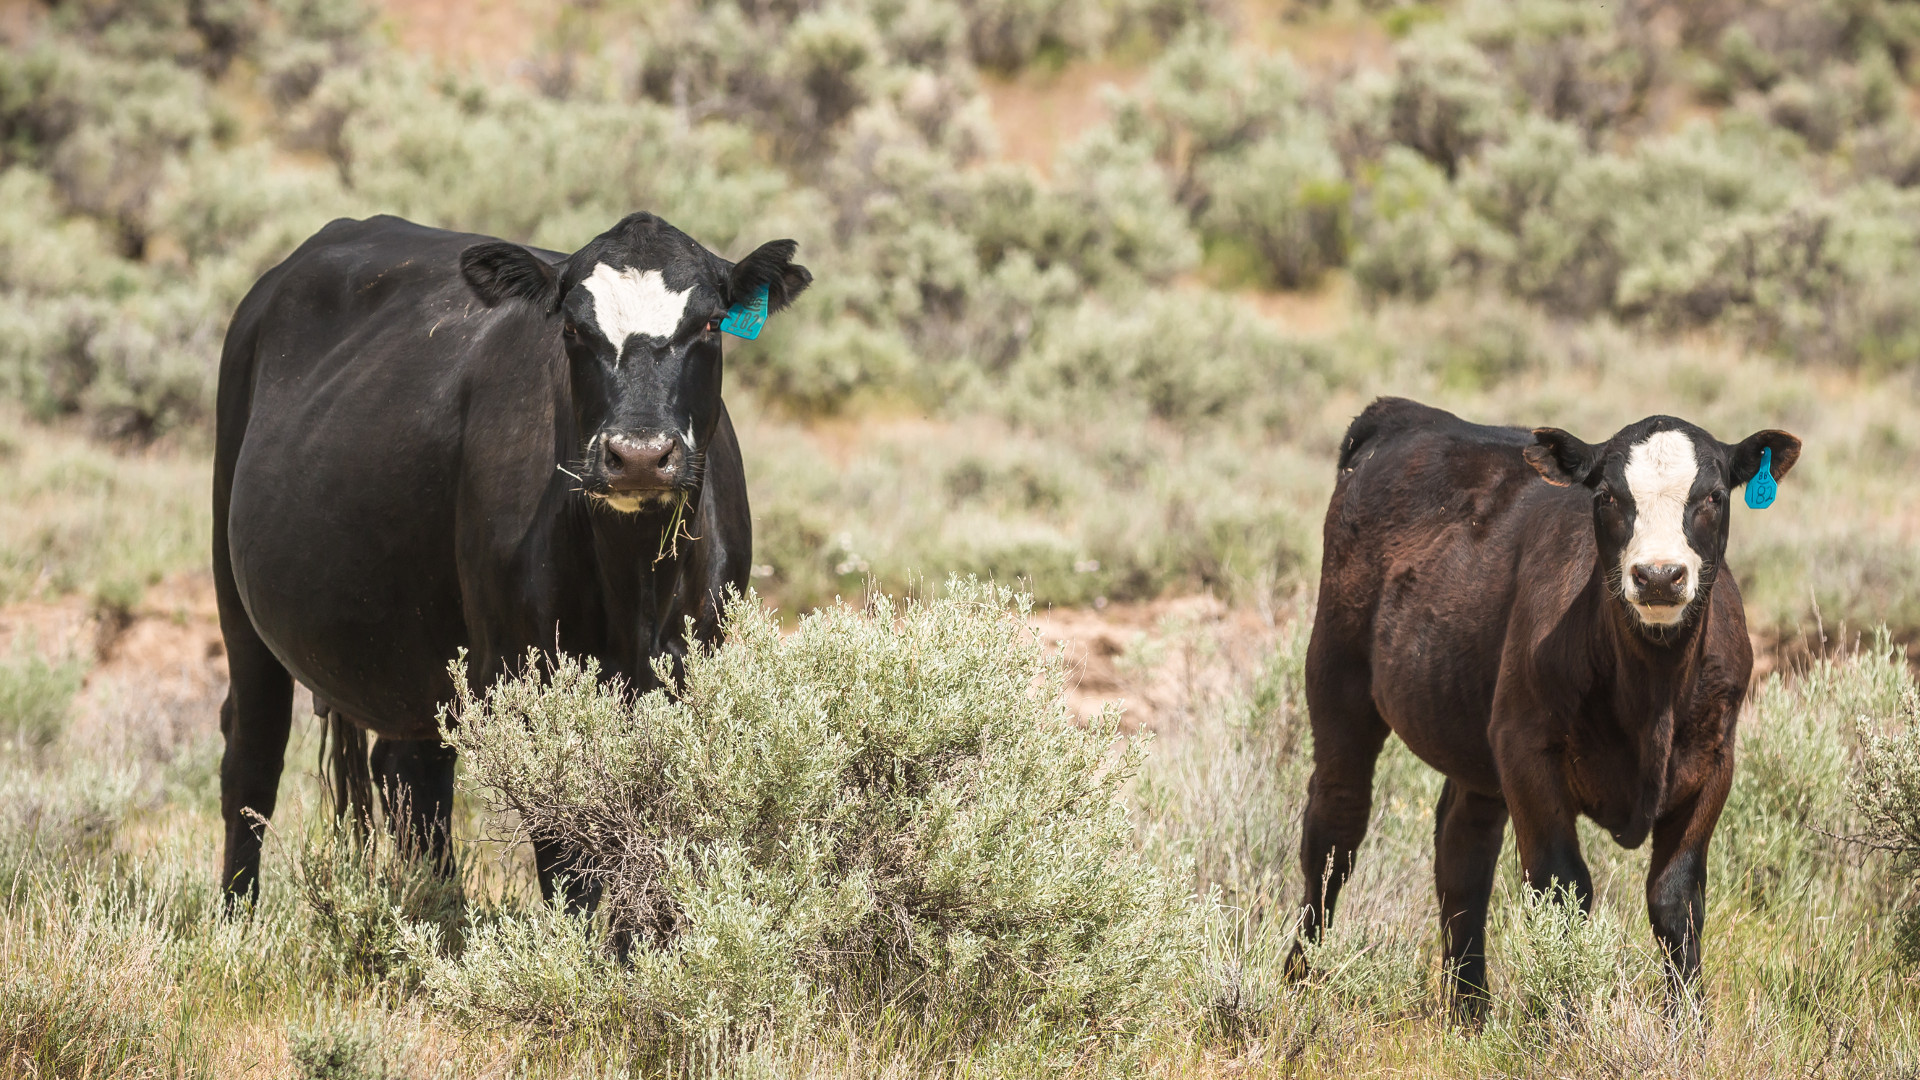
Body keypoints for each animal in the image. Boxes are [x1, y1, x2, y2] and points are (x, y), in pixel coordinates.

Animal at [212, 210, 810, 899]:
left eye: (711, 323)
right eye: (573, 328)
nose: (638, 454)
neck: (634, 585)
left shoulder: (691, 675)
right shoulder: (526, 681)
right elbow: (571, 866)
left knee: (412, 772)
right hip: (238, 597)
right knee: (251, 762)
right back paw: (237, 918)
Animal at [1290, 393, 1797, 1006]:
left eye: (1714, 497)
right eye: (1607, 497)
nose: (1658, 576)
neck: (1652, 693)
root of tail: (1403, 413)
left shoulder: (1714, 760)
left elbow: (1676, 898)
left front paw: (1689, 1021)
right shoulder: (1527, 751)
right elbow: (1562, 891)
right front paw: (1569, 1014)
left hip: (1474, 732)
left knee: (1462, 851)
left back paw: (1469, 1010)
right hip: (1337, 679)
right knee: (1335, 831)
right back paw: (1297, 979)